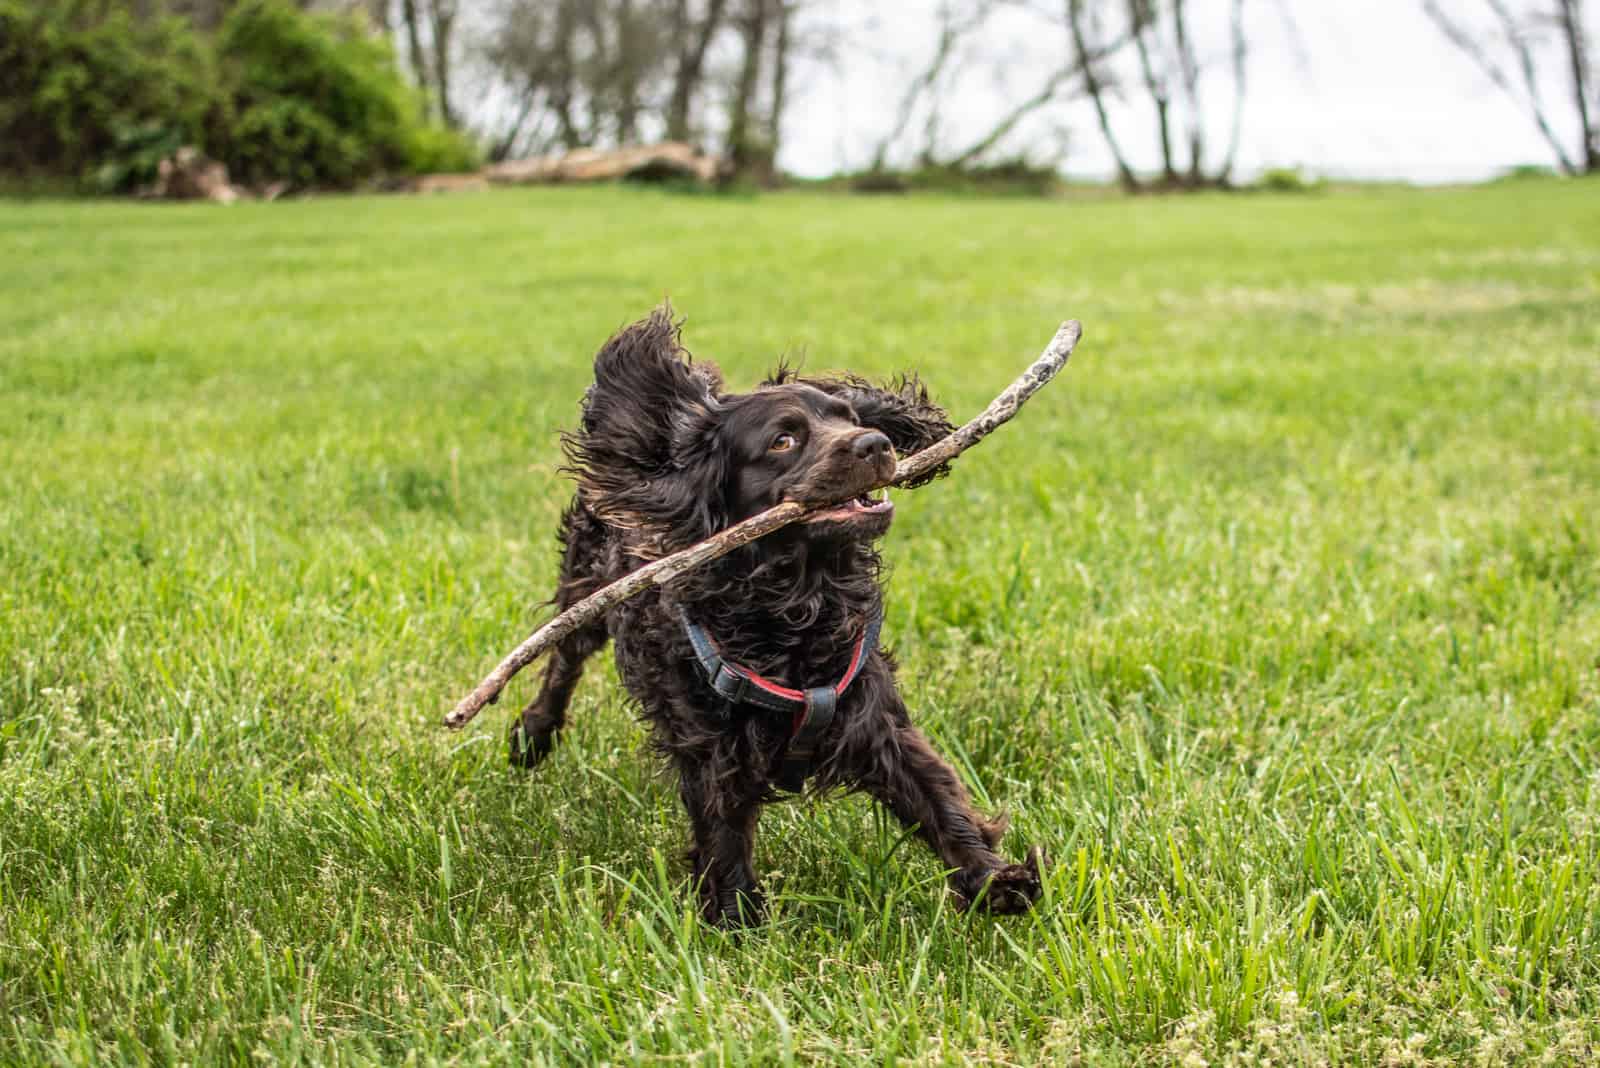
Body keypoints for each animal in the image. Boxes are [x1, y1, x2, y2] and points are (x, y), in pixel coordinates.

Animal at [505, 308, 1043, 927]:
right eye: (784, 440)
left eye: (849, 417)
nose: (876, 442)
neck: (794, 608)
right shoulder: (713, 751)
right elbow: (723, 836)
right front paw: (736, 921)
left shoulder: (872, 715)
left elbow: (937, 798)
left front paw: (994, 878)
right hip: (587, 588)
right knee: (563, 658)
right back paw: (533, 734)